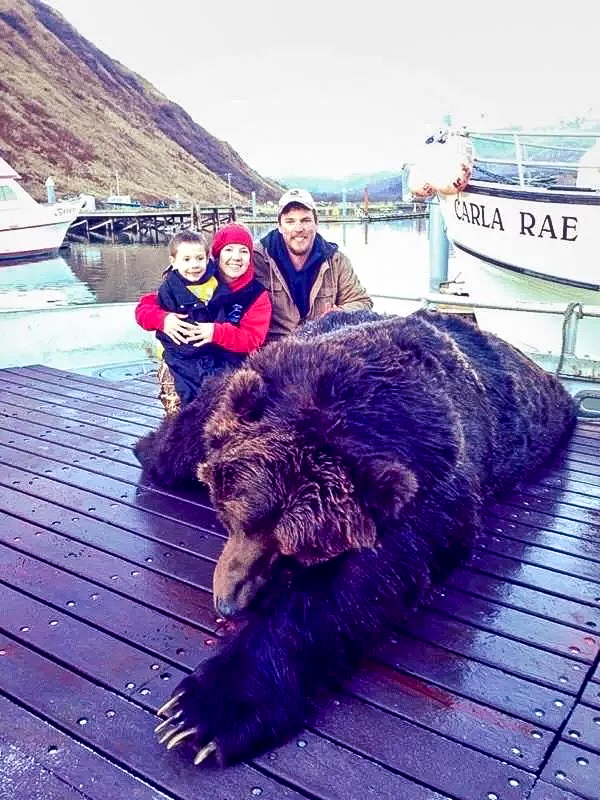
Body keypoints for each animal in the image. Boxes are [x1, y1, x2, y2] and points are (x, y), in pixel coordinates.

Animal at [141, 310, 576, 764]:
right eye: (236, 515)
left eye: (293, 549)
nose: (231, 603)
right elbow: (182, 441)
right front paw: (154, 448)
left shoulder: (427, 490)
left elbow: (359, 582)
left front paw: (205, 711)